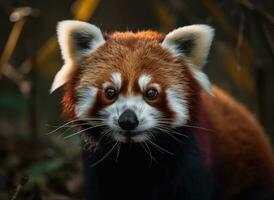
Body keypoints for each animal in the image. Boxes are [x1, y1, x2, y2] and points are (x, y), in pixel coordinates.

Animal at [49, 20, 274, 200]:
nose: (128, 120)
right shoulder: (99, 166)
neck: (135, 155)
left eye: (151, 93)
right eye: (110, 92)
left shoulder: (192, 162)